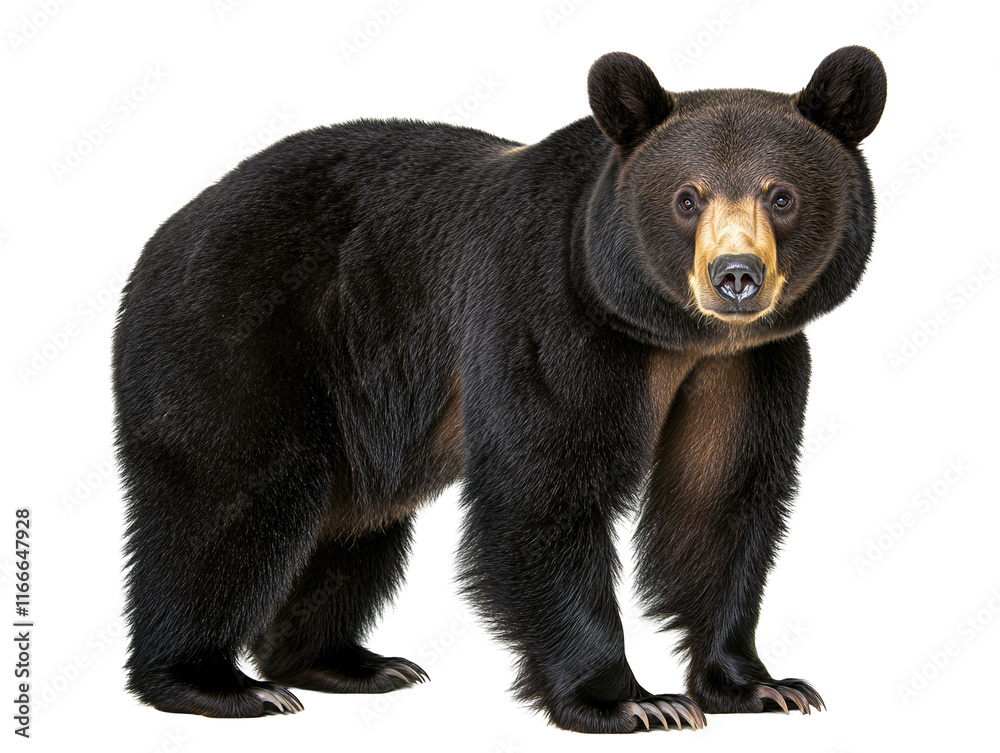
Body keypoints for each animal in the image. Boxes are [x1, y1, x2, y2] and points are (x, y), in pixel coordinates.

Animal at [112, 46, 886, 733]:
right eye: (687, 198)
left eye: (781, 196)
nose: (735, 275)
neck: (666, 334)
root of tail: (164, 232)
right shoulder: (545, 313)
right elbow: (543, 489)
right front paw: (629, 701)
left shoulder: (749, 364)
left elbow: (719, 497)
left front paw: (758, 684)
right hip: (244, 338)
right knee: (231, 500)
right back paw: (212, 680)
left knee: (353, 522)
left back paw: (343, 662)